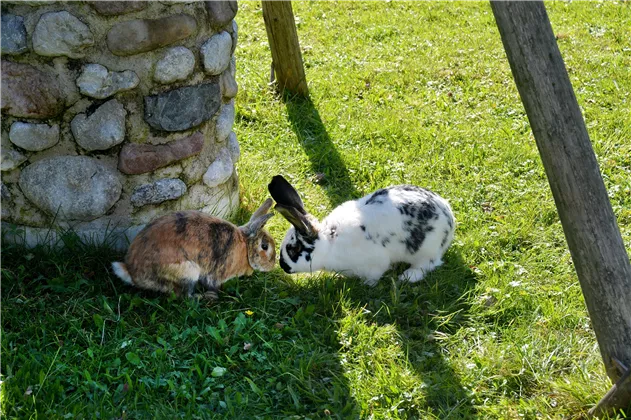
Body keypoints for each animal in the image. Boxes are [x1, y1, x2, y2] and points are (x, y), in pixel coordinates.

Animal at [270, 176, 456, 288]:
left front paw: (366, 285)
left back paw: (407, 276)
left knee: (428, 264)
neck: (330, 243)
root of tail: (449, 216)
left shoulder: (375, 264)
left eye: (294, 249)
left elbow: (374, 276)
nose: (283, 266)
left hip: (425, 251)